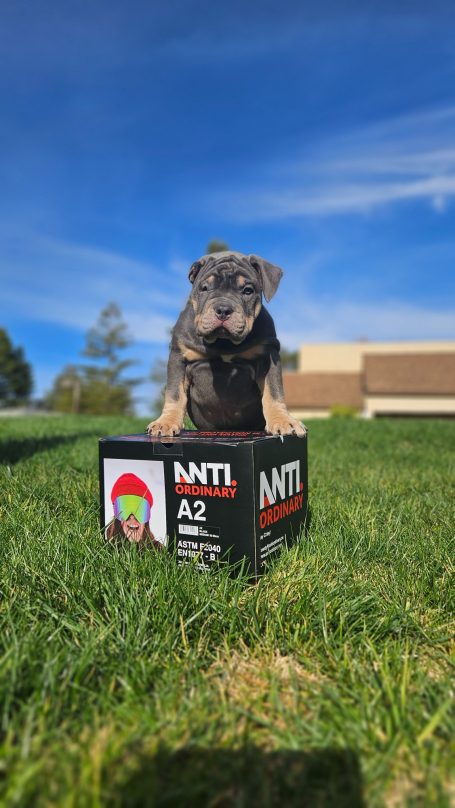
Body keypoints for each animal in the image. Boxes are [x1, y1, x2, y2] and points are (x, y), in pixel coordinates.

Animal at [148, 252, 308, 438]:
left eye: (248, 290)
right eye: (204, 288)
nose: (223, 309)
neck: (223, 342)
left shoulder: (268, 356)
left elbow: (274, 391)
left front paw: (283, 421)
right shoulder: (179, 357)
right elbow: (174, 394)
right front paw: (165, 422)